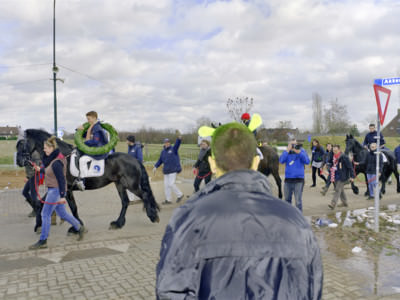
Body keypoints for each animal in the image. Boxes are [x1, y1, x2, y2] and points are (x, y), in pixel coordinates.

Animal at [16, 128, 159, 232]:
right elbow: (41, 203)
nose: (18, 162)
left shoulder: (67, 189)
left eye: (22, 144)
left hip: (131, 184)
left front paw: (77, 226)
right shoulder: (59, 188)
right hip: (120, 184)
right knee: (125, 202)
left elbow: (73, 208)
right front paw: (39, 224)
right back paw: (118, 223)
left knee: (144, 195)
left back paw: (153, 217)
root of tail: (134, 159)